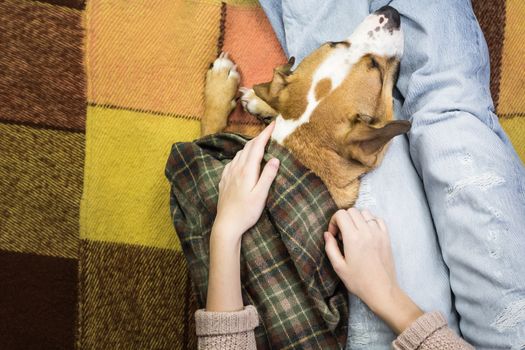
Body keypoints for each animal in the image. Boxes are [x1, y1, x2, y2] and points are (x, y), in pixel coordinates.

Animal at [199, 5, 408, 208]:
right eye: (377, 68)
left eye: (334, 42)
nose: (390, 12)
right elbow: (209, 126)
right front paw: (223, 81)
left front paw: (260, 102)